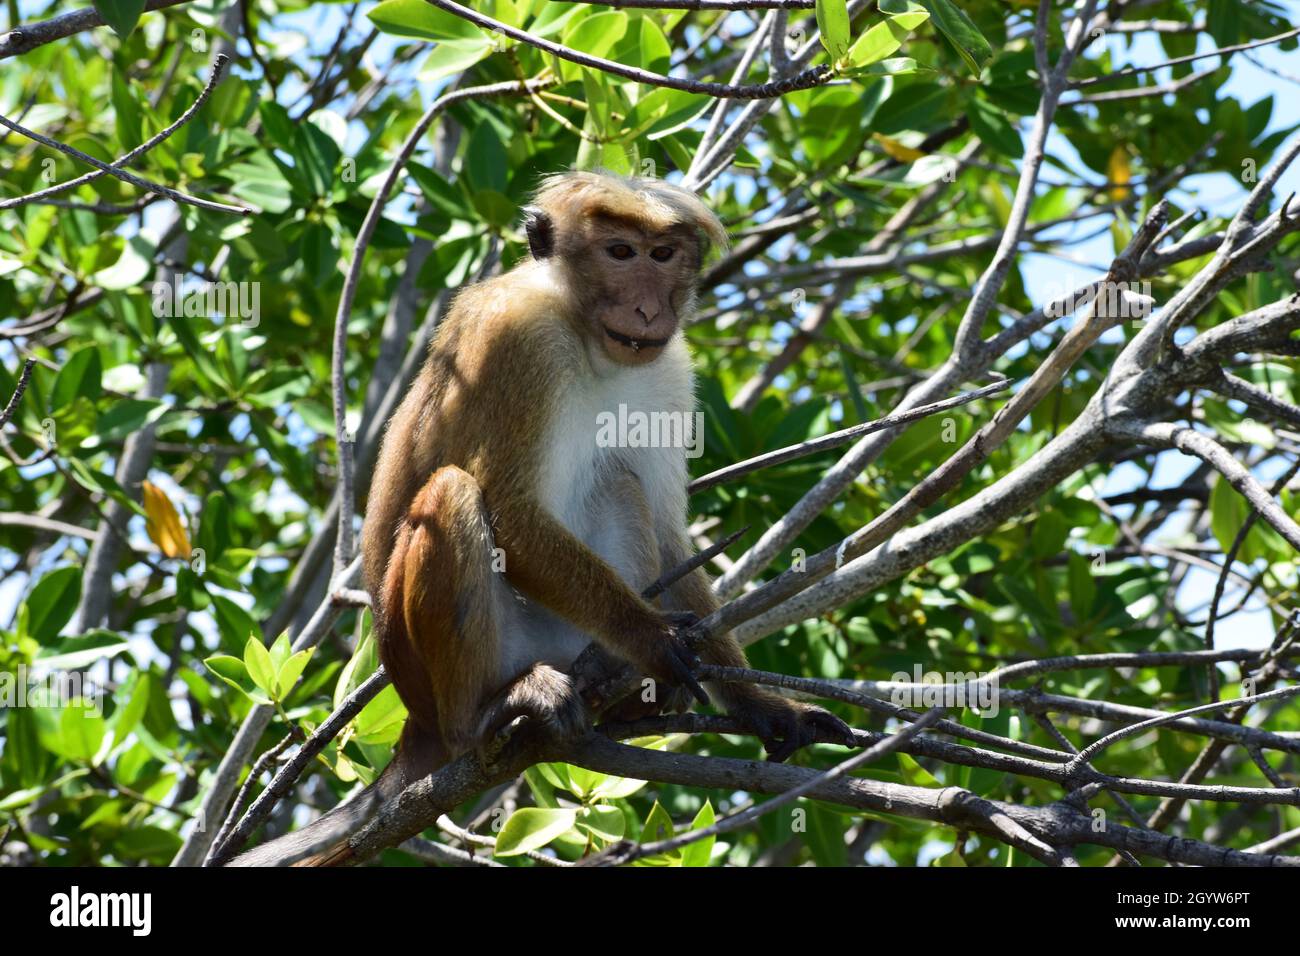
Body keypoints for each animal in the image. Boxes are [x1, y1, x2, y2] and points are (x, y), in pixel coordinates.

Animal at [230, 171, 853, 866]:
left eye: (662, 255)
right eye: (619, 253)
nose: (648, 309)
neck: (583, 333)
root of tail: (414, 718)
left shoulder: (668, 371)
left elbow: (669, 536)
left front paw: (761, 707)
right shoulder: (518, 342)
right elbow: (508, 510)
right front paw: (650, 637)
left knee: (620, 481)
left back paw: (625, 706)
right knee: (454, 493)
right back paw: (485, 716)